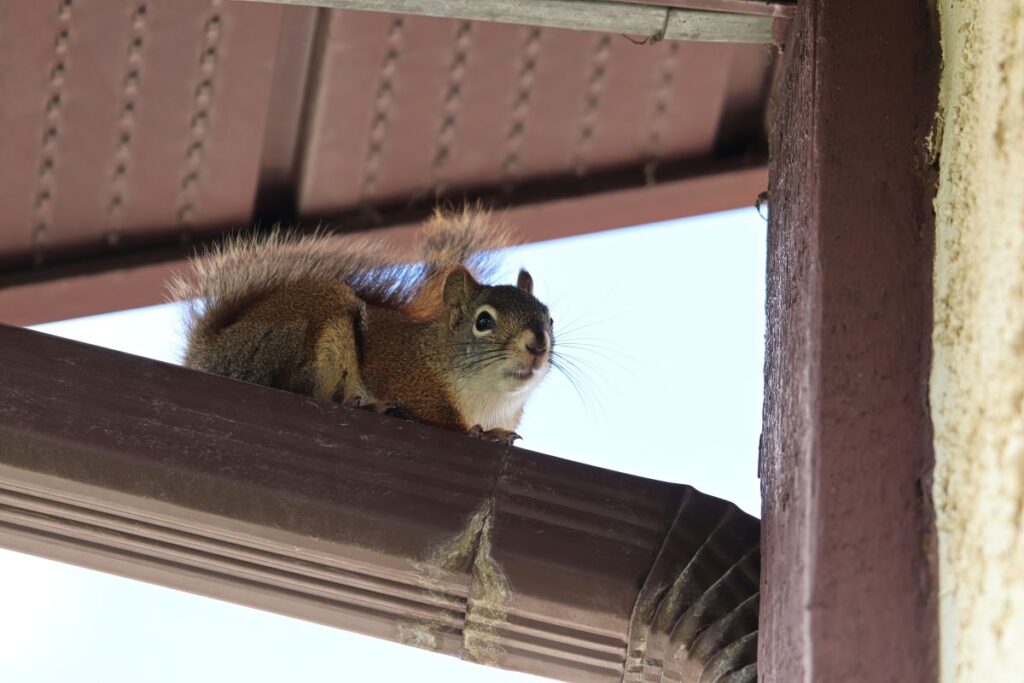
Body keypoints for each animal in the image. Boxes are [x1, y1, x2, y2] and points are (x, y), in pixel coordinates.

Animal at [170, 208, 553, 443]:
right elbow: (441, 418)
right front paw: (482, 434)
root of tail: (210, 353)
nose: (537, 344)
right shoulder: (414, 383)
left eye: (549, 318)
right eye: (483, 321)